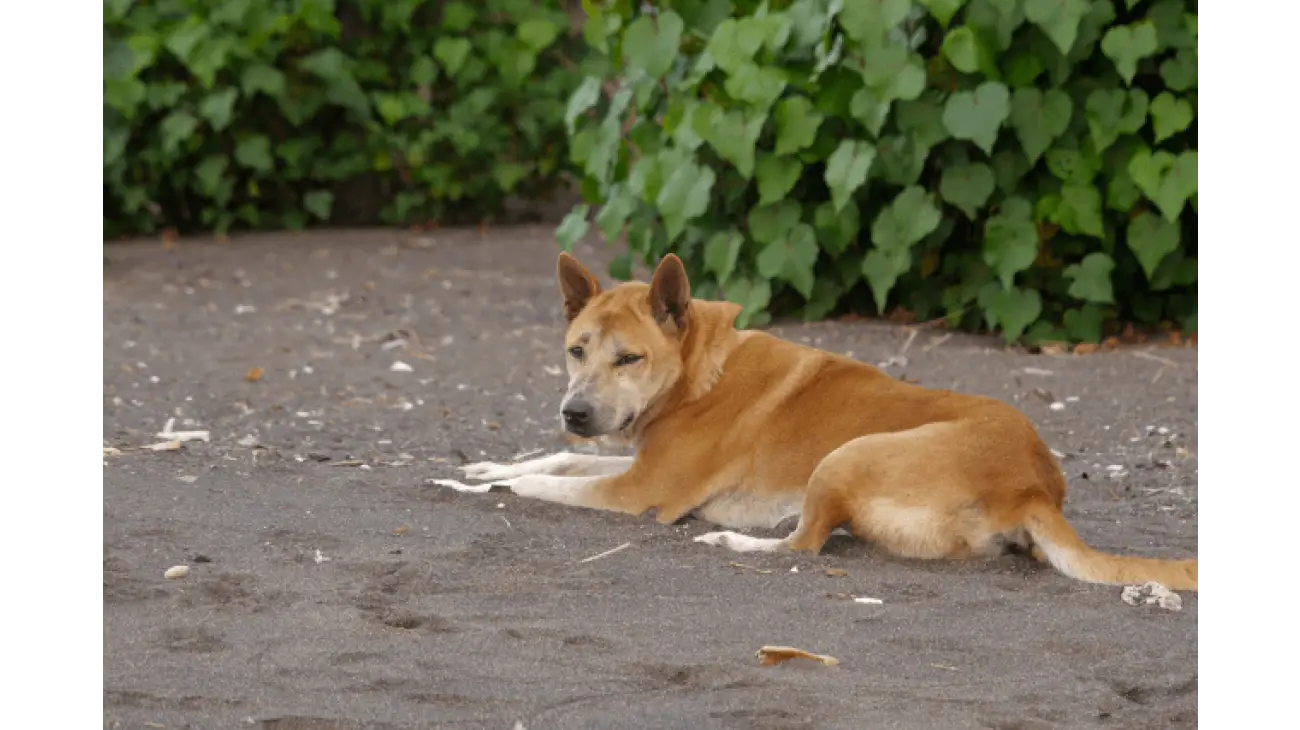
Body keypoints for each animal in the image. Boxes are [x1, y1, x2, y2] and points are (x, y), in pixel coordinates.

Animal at [454, 251, 1196, 592]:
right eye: (576, 349)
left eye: (628, 358)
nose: (574, 411)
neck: (697, 370)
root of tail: (1034, 486)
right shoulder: (630, 461)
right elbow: (554, 459)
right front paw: (484, 466)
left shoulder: (641, 492)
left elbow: (546, 483)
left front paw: (485, 486)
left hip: (846, 456)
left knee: (803, 545)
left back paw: (734, 541)